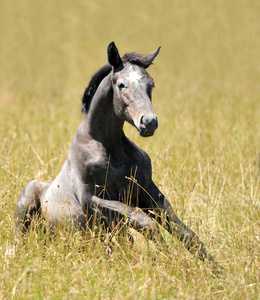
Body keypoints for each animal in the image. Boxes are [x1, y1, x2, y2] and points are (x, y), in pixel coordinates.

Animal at [13, 42, 223, 274]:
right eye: (121, 85)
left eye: (151, 84)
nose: (149, 122)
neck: (113, 151)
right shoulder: (91, 199)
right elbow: (143, 222)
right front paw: (169, 261)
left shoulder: (147, 192)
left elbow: (184, 233)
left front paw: (220, 272)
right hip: (27, 200)